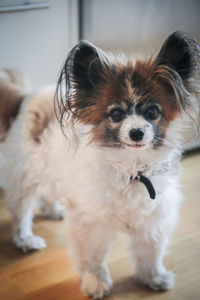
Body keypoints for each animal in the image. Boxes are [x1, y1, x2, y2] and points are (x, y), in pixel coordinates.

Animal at [0, 31, 200, 298]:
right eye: (116, 114)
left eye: (152, 112)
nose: (136, 132)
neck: (132, 171)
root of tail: (26, 97)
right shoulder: (92, 224)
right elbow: (93, 257)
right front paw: (95, 282)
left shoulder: (153, 220)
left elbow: (150, 252)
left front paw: (153, 277)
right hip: (23, 177)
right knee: (21, 212)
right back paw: (26, 240)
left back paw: (53, 211)